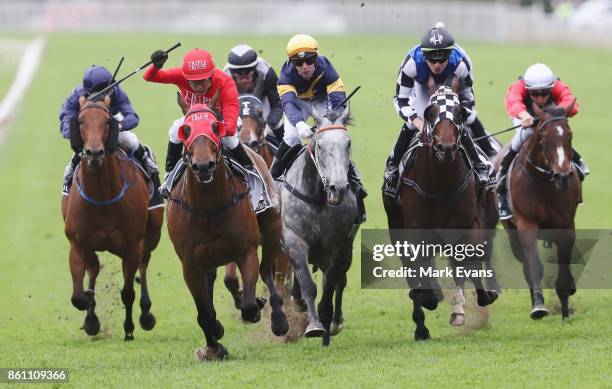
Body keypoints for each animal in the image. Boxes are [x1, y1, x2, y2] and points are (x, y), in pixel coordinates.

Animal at [61, 96, 164, 340]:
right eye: (80, 121)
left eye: (107, 121)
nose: (94, 153)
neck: (103, 196)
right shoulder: (78, 243)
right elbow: (78, 296)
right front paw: (89, 311)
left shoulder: (132, 246)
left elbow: (127, 292)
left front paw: (129, 329)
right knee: (94, 268)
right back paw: (91, 317)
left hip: (152, 233)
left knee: (144, 263)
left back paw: (146, 314)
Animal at [166, 101, 288, 360]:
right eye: (186, 130)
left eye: (215, 127)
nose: (204, 166)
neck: (209, 208)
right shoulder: (190, 264)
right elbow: (204, 312)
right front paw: (215, 342)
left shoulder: (246, 251)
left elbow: (249, 304)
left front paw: (257, 306)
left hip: (272, 227)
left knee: (267, 271)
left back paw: (279, 318)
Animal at [280, 105, 360, 346]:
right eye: (321, 145)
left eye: (348, 143)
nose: (338, 188)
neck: (317, 198)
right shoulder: (294, 239)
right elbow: (307, 283)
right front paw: (314, 325)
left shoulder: (337, 245)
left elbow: (330, 286)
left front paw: (325, 320)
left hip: (345, 250)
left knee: (340, 281)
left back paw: (334, 323)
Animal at [384, 85, 500, 340]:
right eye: (430, 113)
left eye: (459, 113)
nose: (445, 148)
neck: (440, 185)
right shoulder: (414, 235)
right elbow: (420, 278)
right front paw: (430, 299)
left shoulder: (469, 226)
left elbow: (469, 264)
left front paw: (465, 305)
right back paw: (422, 326)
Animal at [494, 100, 580, 318]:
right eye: (544, 137)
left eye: (569, 135)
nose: (563, 176)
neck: (543, 182)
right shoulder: (526, 224)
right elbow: (534, 266)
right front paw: (539, 306)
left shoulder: (565, 225)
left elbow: (564, 267)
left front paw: (565, 313)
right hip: (512, 232)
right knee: (525, 265)